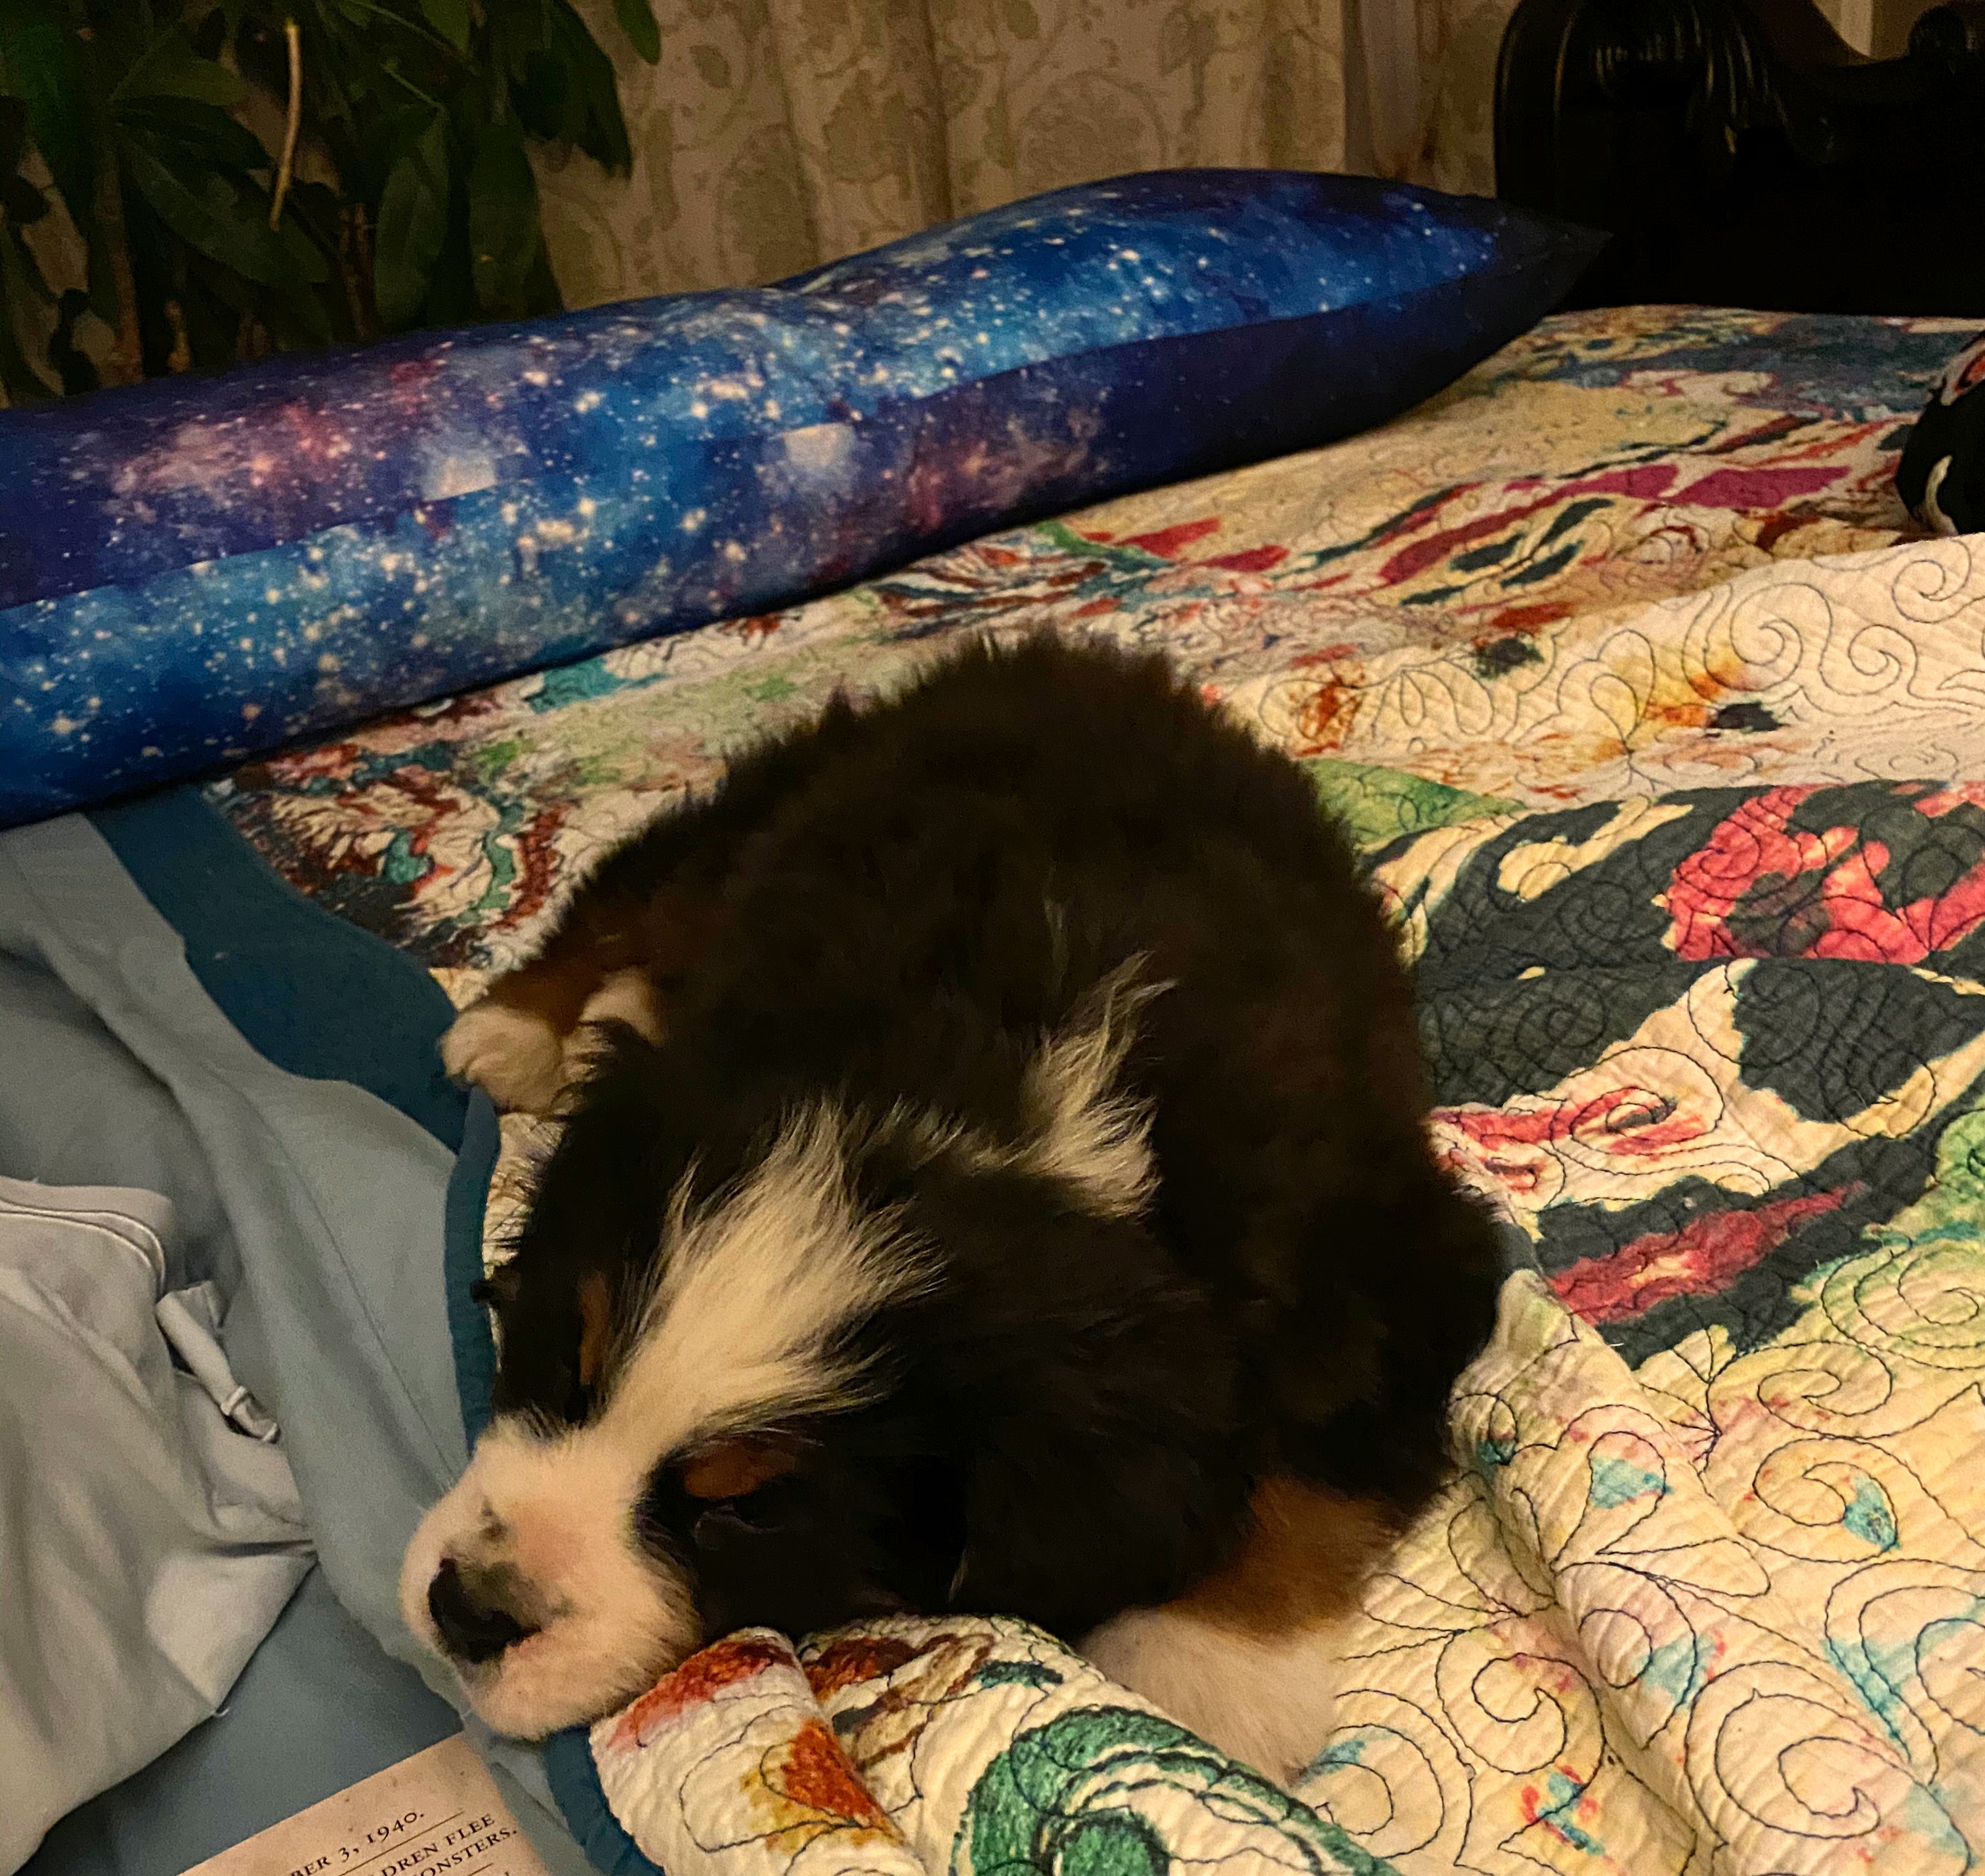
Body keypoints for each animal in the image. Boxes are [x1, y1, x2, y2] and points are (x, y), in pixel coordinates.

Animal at [398, 627, 1493, 1770]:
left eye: (743, 1512)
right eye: (566, 1364)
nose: (467, 1610)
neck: (981, 1097)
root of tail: (1076, 655)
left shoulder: (1391, 1255)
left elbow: (1318, 1469)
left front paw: (1212, 1668)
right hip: (771, 801)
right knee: (632, 893)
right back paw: (518, 1029)